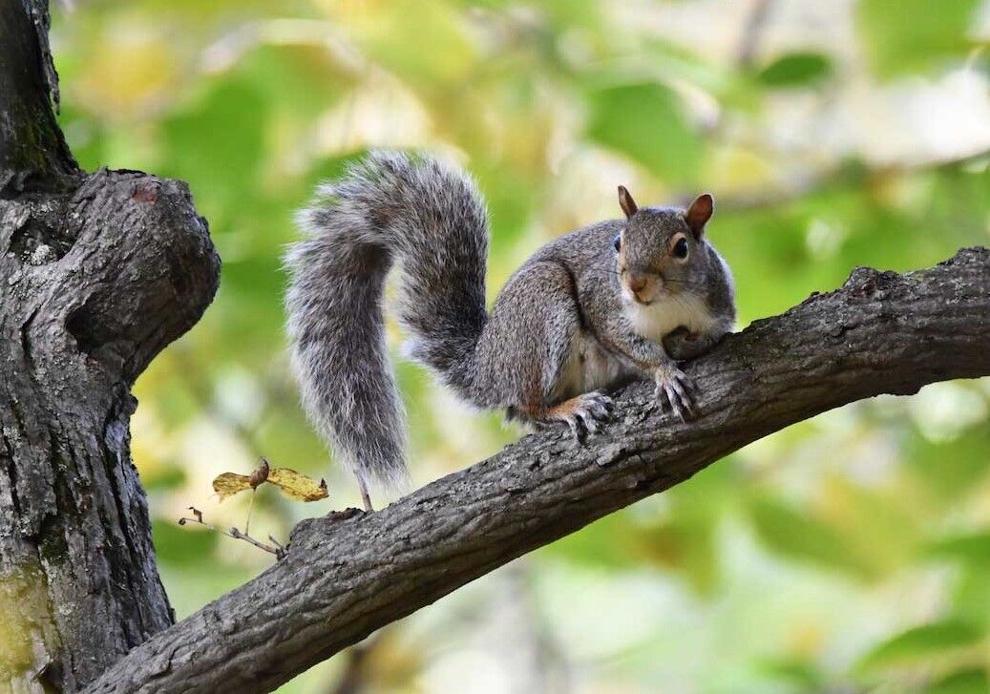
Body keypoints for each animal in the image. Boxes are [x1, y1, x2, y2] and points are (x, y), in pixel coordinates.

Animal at [285, 151, 735, 510]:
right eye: (618, 244)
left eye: (681, 247)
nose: (634, 284)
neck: (663, 308)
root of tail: (486, 364)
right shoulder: (603, 304)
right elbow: (628, 343)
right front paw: (665, 372)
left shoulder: (718, 308)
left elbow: (714, 334)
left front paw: (683, 345)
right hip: (542, 305)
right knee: (530, 405)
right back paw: (569, 408)